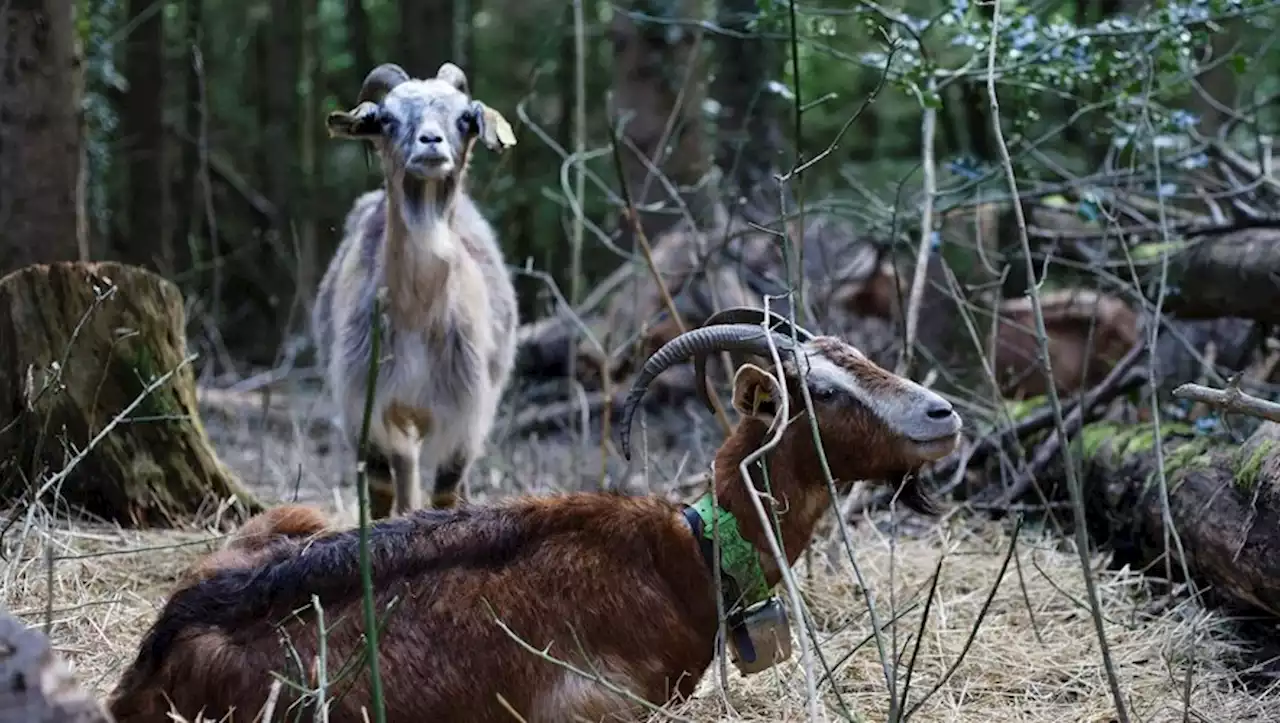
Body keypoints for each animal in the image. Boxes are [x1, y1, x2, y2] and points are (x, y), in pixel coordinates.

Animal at [107, 305, 962, 721]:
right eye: (818, 391)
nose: (943, 413)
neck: (688, 554)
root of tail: (154, 652)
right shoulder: (598, 703)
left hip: (296, 515)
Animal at [312, 60, 517, 511]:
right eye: (387, 118)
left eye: (465, 118)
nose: (431, 143)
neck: (418, 316)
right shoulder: (365, 406)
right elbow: (382, 488)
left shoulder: (464, 414)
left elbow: (445, 492)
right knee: (405, 470)